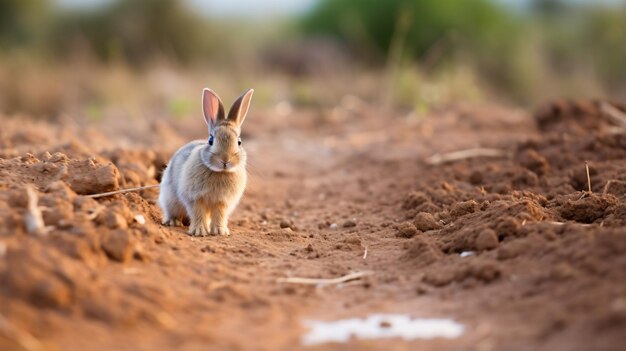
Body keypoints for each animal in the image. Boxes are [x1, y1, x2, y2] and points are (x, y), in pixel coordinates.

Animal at [157, 88, 252, 236]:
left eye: (239, 141)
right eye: (210, 140)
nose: (225, 160)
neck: (220, 172)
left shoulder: (222, 202)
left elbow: (219, 215)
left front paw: (219, 231)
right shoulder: (195, 198)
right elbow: (198, 212)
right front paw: (199, 232)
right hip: (170, 199)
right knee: (172, 211)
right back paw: (173, 222)